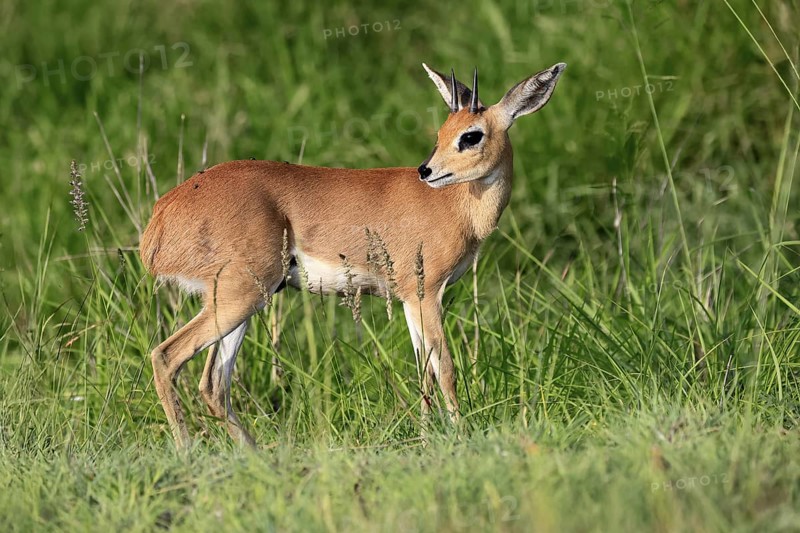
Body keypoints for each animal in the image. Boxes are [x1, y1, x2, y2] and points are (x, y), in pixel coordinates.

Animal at [140, 62, 566, 448]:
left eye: (470, 135)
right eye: (443, 133)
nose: (427, 170)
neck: (455, 205)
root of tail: (160, 218)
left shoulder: (410, 300)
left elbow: (423, 372)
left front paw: (427, 438)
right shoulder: (426, 293)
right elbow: (444, 368)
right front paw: (458, 436)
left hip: (243, 302)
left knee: (213, 382)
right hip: (237, 298)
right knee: (166, 356)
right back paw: (187, 453)